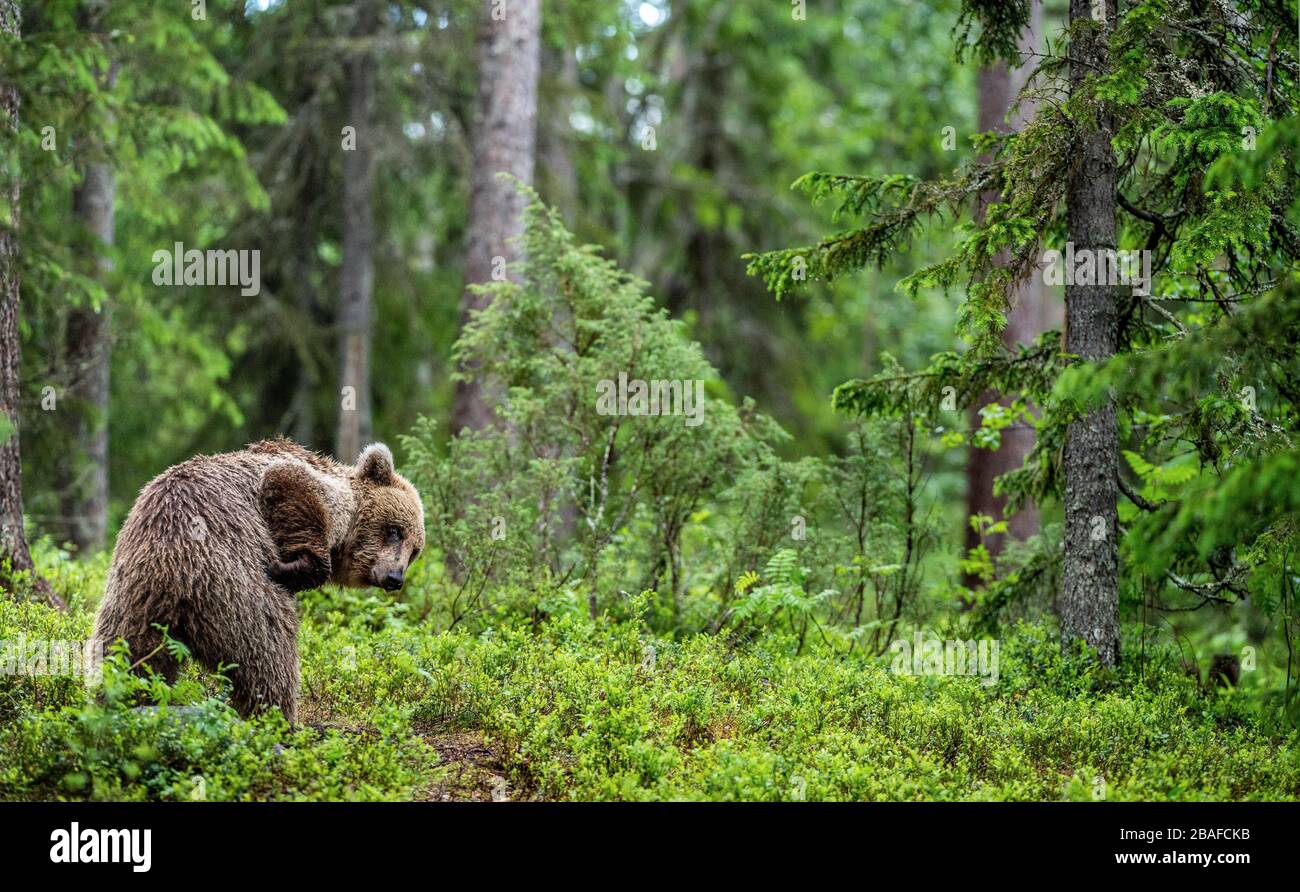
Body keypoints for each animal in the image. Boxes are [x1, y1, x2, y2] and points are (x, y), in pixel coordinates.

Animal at [92, 437, 425, 723]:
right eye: (395, 530)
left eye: (415, 552)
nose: (395, 578)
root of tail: (174, 574)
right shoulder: (299, 486)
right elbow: (288, 485)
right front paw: (295, 567)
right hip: (237, 592)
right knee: (269, 659)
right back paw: (277, 721)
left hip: (132, 598)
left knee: (128, 658)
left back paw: (118, 703)